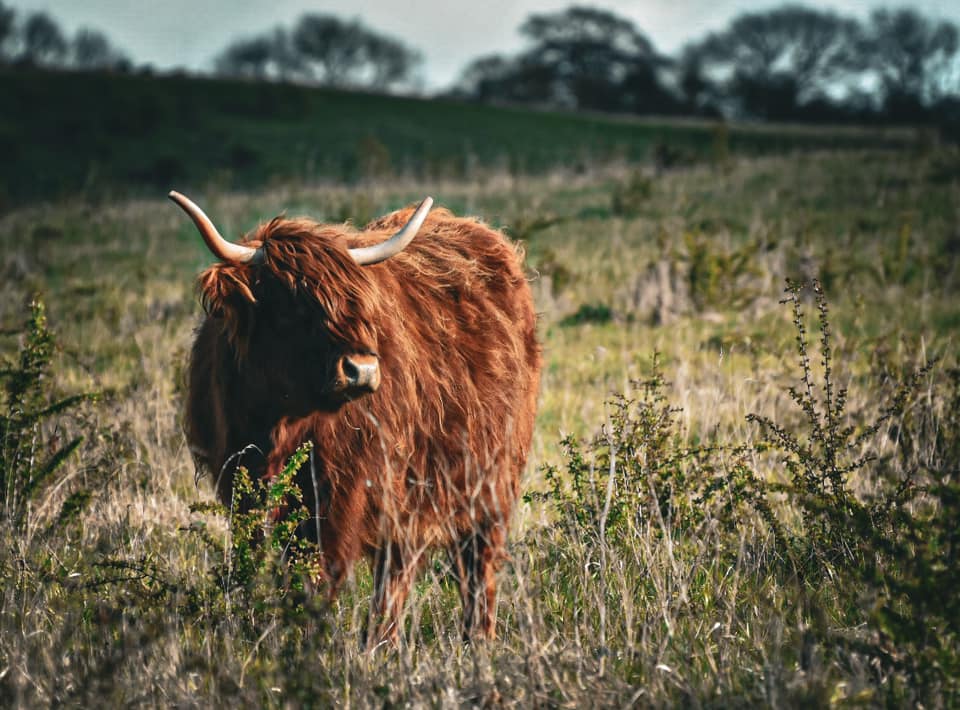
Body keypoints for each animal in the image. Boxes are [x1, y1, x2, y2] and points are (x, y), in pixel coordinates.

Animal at [172, 192, 540, 644]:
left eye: (358, 303)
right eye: (291, 307)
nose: (361, 370)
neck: (278, 425)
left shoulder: (341, 493)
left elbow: (317, 571)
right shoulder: (239, 484)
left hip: (486, 478)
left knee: (469, 562)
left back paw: (468, 640)